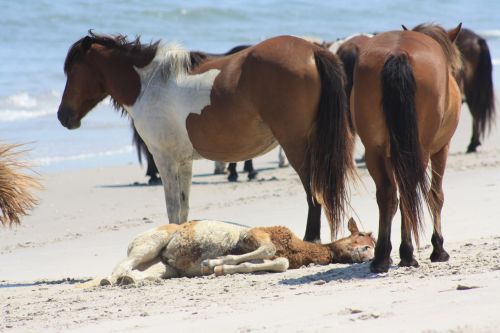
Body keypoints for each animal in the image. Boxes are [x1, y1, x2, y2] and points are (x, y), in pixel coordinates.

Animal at [57, 32, 356, 243]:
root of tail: (312, 50)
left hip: (296, 146)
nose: (63, 116)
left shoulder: (164, 160)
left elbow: (173, 209)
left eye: (72, 70)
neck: (149, 85)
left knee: (313, 192)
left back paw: (310, 239)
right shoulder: (183, 162)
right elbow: (183, 210)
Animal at [350, 24, 462, 272]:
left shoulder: (390, 155)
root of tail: (398, 53)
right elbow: (435, 195)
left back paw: (382, 257)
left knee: (388, 195)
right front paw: (438, 248)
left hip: (374, 151)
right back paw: (408, 254)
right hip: (420, 151)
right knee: (410, 193)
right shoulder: (442, 149)